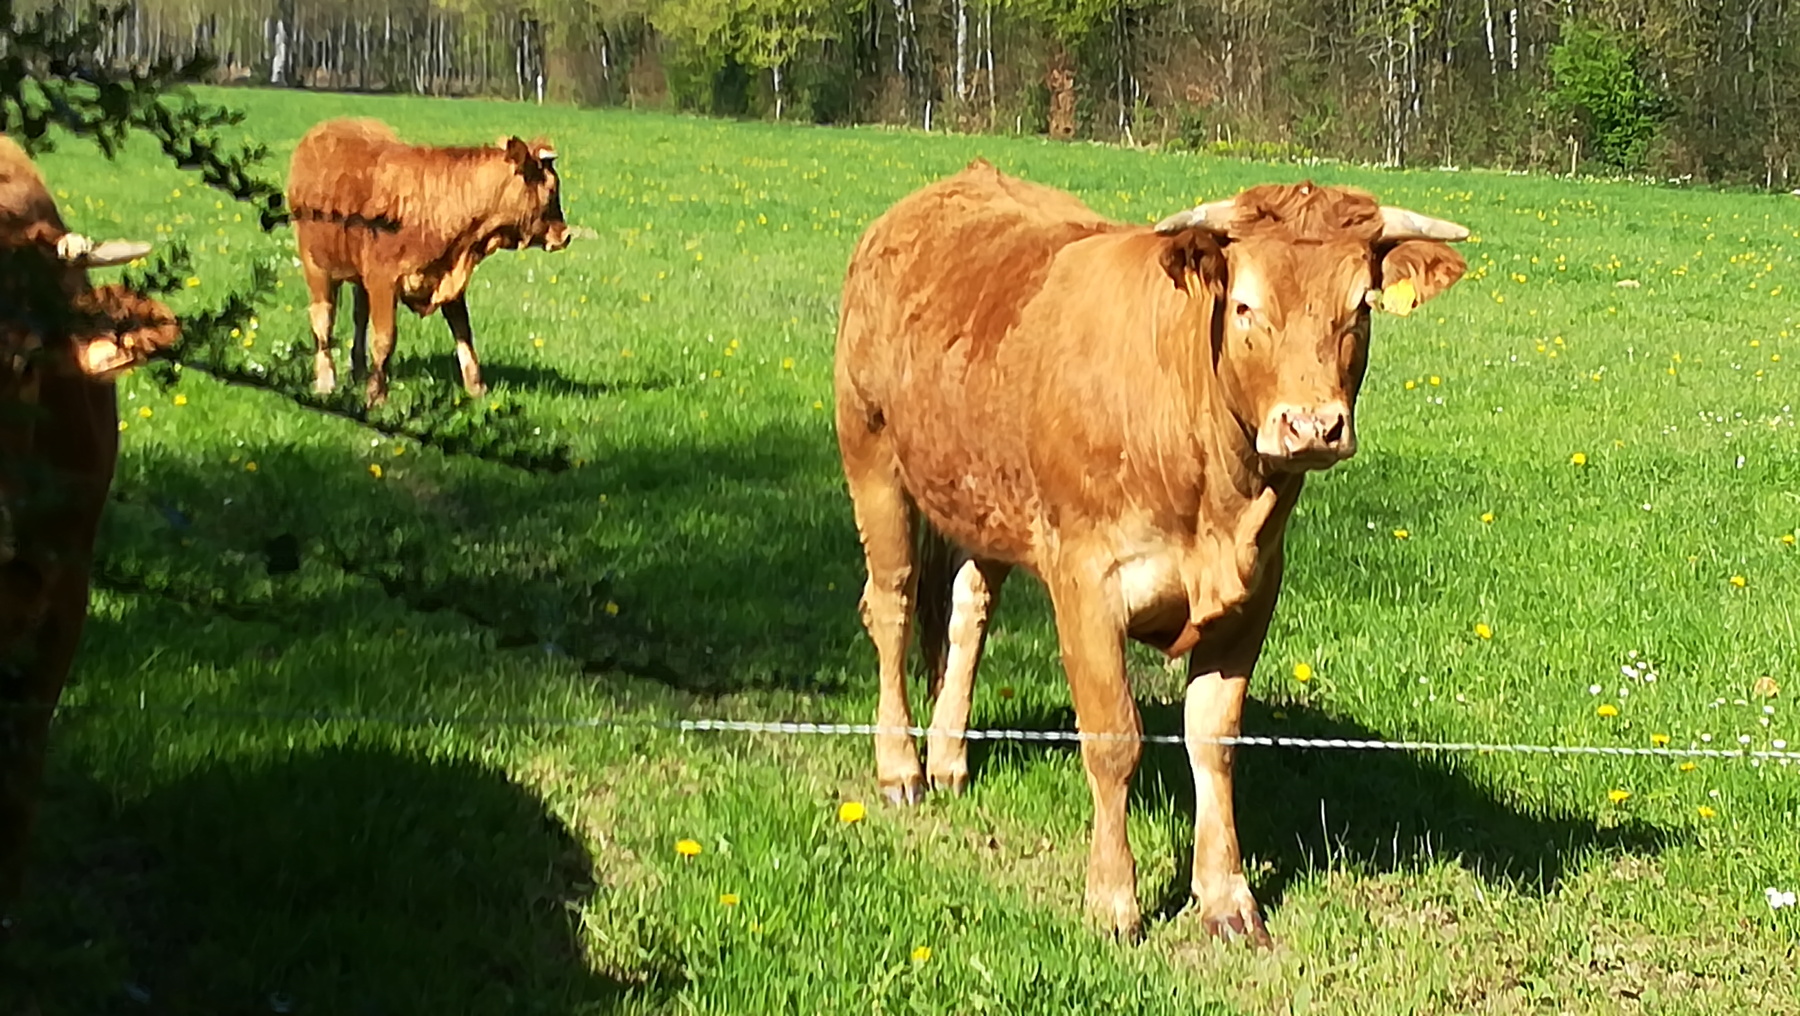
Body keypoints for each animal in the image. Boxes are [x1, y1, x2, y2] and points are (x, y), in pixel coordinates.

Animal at [286, 118, 571, 407]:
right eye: (551, 191)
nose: (565, 235)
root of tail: (325, 128)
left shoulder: (449, 279)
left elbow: (464, 334)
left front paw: (477, 389)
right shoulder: (383, 280)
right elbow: (385, 339)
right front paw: (377, 397)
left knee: (359, 318)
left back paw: (359, 372)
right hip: (316, 266)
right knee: (323, 321)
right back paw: (326, 382)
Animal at [834, 159, 1468, 944]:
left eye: (1361, 307)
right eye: (1245, 306)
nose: (1312, 426)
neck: (1218, 504)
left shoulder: (1253, 595)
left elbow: (1213, 739)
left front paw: (1225, 896)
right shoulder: (1085, 580)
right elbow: (1113, 738)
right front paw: (1113, 902)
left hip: (983, 496)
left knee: (966, 611)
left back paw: (950, 759)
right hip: (872, 458)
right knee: (890, 603)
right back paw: (901, 769)